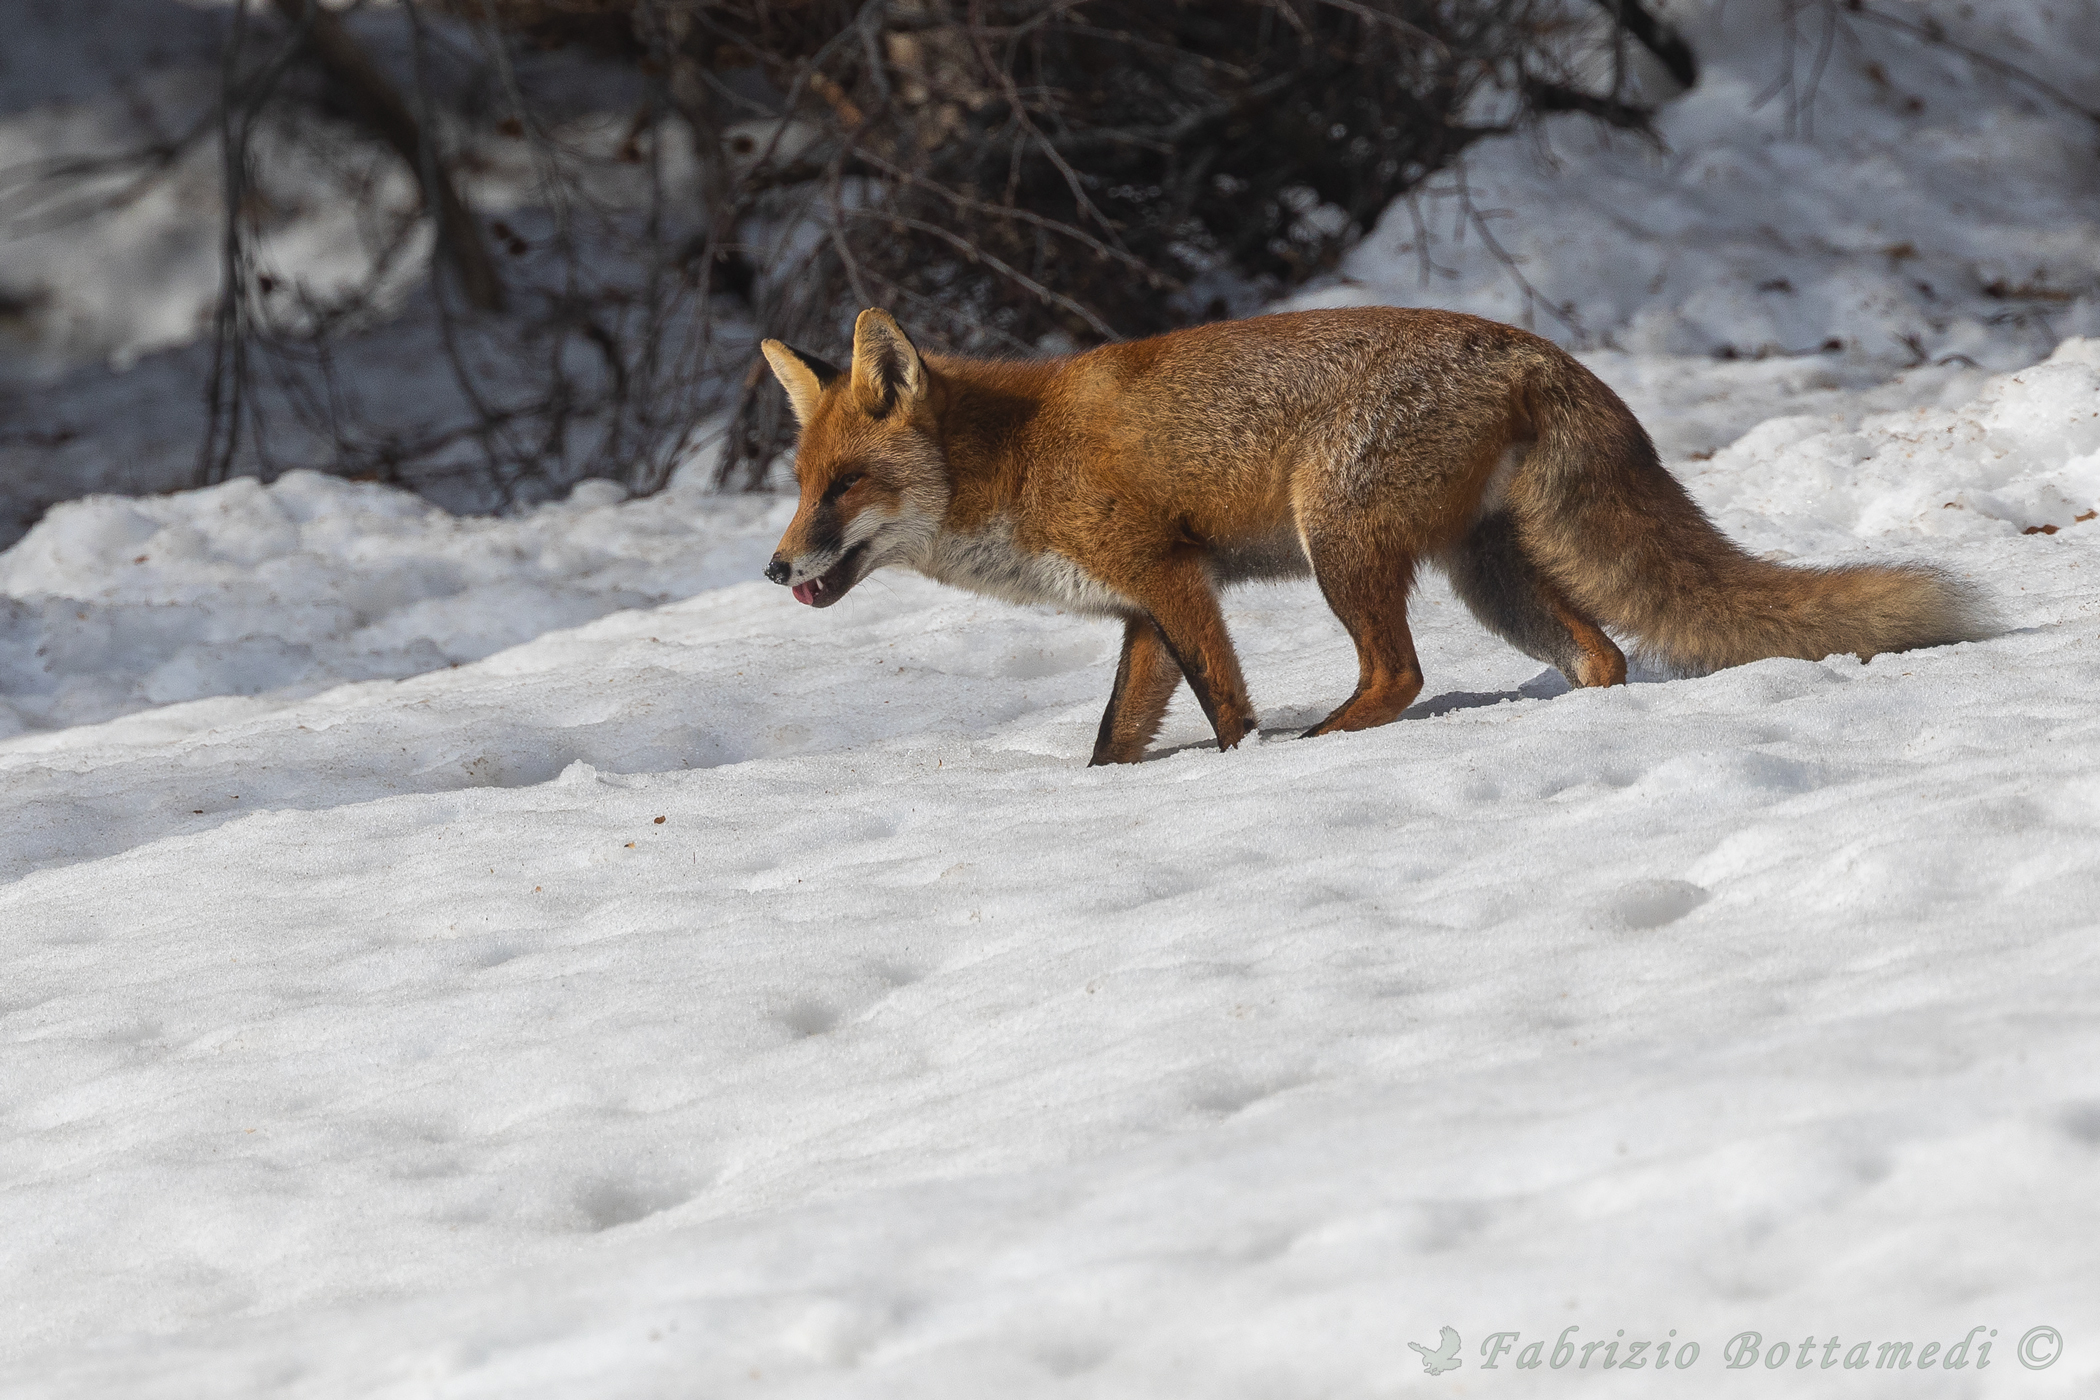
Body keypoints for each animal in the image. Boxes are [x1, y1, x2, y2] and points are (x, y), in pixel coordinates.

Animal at [759, 306, 1989, 766]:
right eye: (799, 485)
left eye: (846, 487)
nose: (774, 567)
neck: (1017, 457)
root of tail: (1533, 347)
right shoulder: (1145, 611)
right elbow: (1115, 737)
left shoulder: (1172, 576)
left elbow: (1228, 714)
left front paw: (1241, 769)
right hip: (1487, 576)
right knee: (1600, 656)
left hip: (1340, 544)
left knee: (1398, 674)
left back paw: (1325, 745)